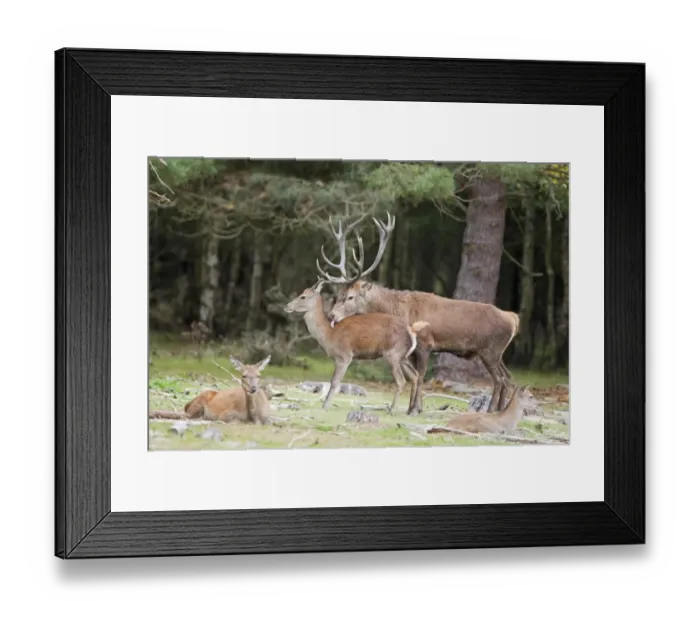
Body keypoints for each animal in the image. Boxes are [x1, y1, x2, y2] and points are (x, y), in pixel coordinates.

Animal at [283, 278, 432, 414]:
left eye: (303, 296)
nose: (286, 306)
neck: (329, 335)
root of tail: (412, 329)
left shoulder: (344, 355)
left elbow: (335, 381)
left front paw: (325, 406)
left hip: (393, 354)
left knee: (401, 381)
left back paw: (391, 409)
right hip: (403, 356)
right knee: (415, 375)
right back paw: (410, 410)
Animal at [317, 212, 520, 415]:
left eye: (350, 297)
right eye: (339, 294)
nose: (332, 315)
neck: (398, 310)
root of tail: (513, 318)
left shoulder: (425, 343)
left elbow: (420, 376)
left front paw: (415, 409)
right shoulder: (413, 350)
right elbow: (415, 376)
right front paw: (413, 408)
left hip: (490, 350)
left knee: (499, 378)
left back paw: (491, 409)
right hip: (497, 352)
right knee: (508, 376)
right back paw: (501, 409)